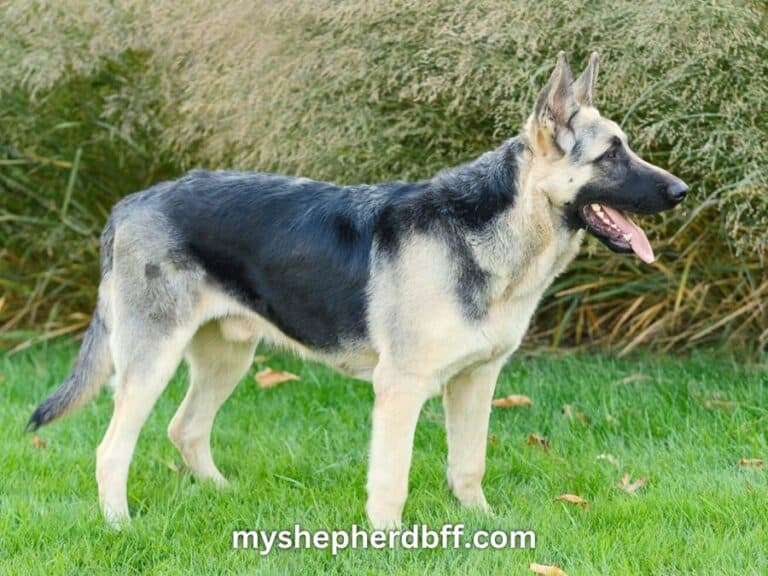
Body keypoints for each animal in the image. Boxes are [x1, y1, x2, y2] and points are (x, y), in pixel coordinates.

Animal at [30, 51, 688, 528]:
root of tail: (131, 203)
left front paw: (482, 525)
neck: (496, 225)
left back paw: (221, 495)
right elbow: (391, 478)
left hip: (227, 358)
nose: (682, 191)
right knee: (112, 450)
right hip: (151, 363)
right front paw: (388, 540)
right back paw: (119, 525)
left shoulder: (477, 382)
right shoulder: (400, 389)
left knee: (184, 429)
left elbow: (468, 465)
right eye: (612, 154)